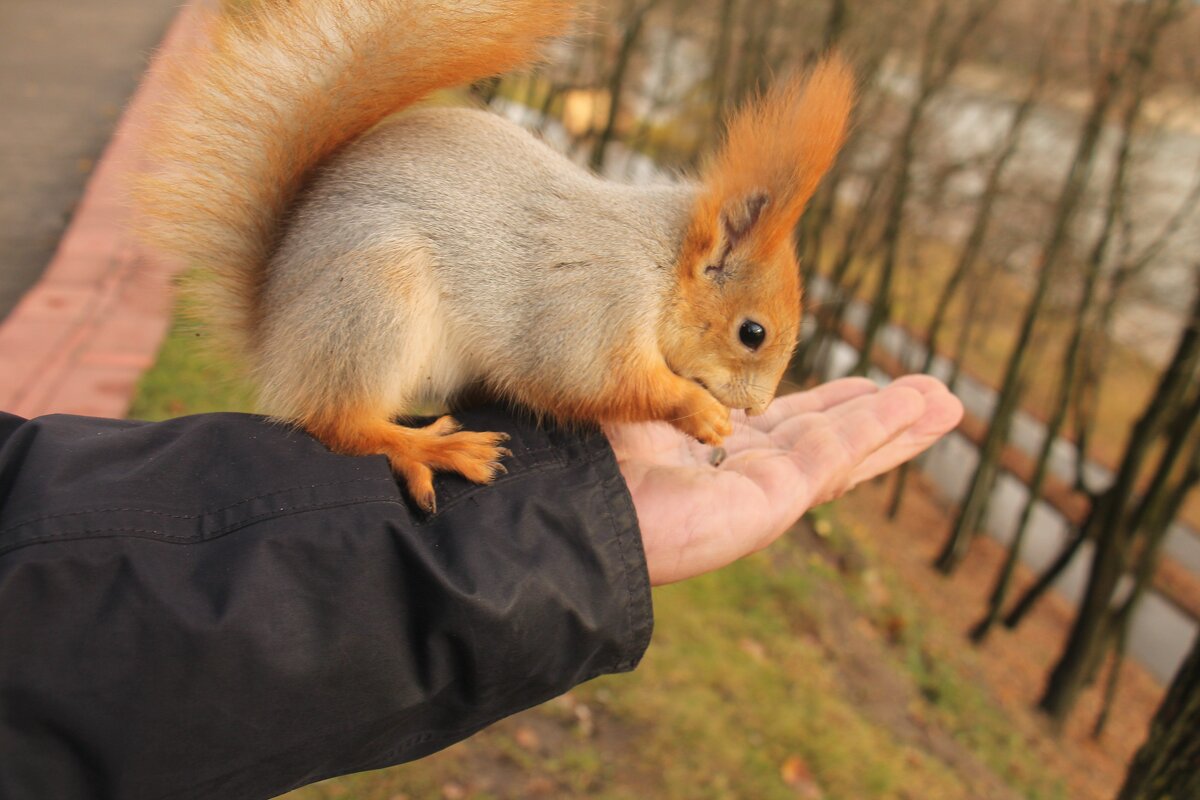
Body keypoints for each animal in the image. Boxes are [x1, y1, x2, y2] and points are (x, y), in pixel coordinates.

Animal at [133, 1, 854, 513]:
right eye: (752, 332)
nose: (758, 409)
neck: (655, 265)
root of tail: (275, 331)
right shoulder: (590, 307)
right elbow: (597, 381)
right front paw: (697, 410)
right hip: (374, 300)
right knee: (336, 421)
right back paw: (427, 448)